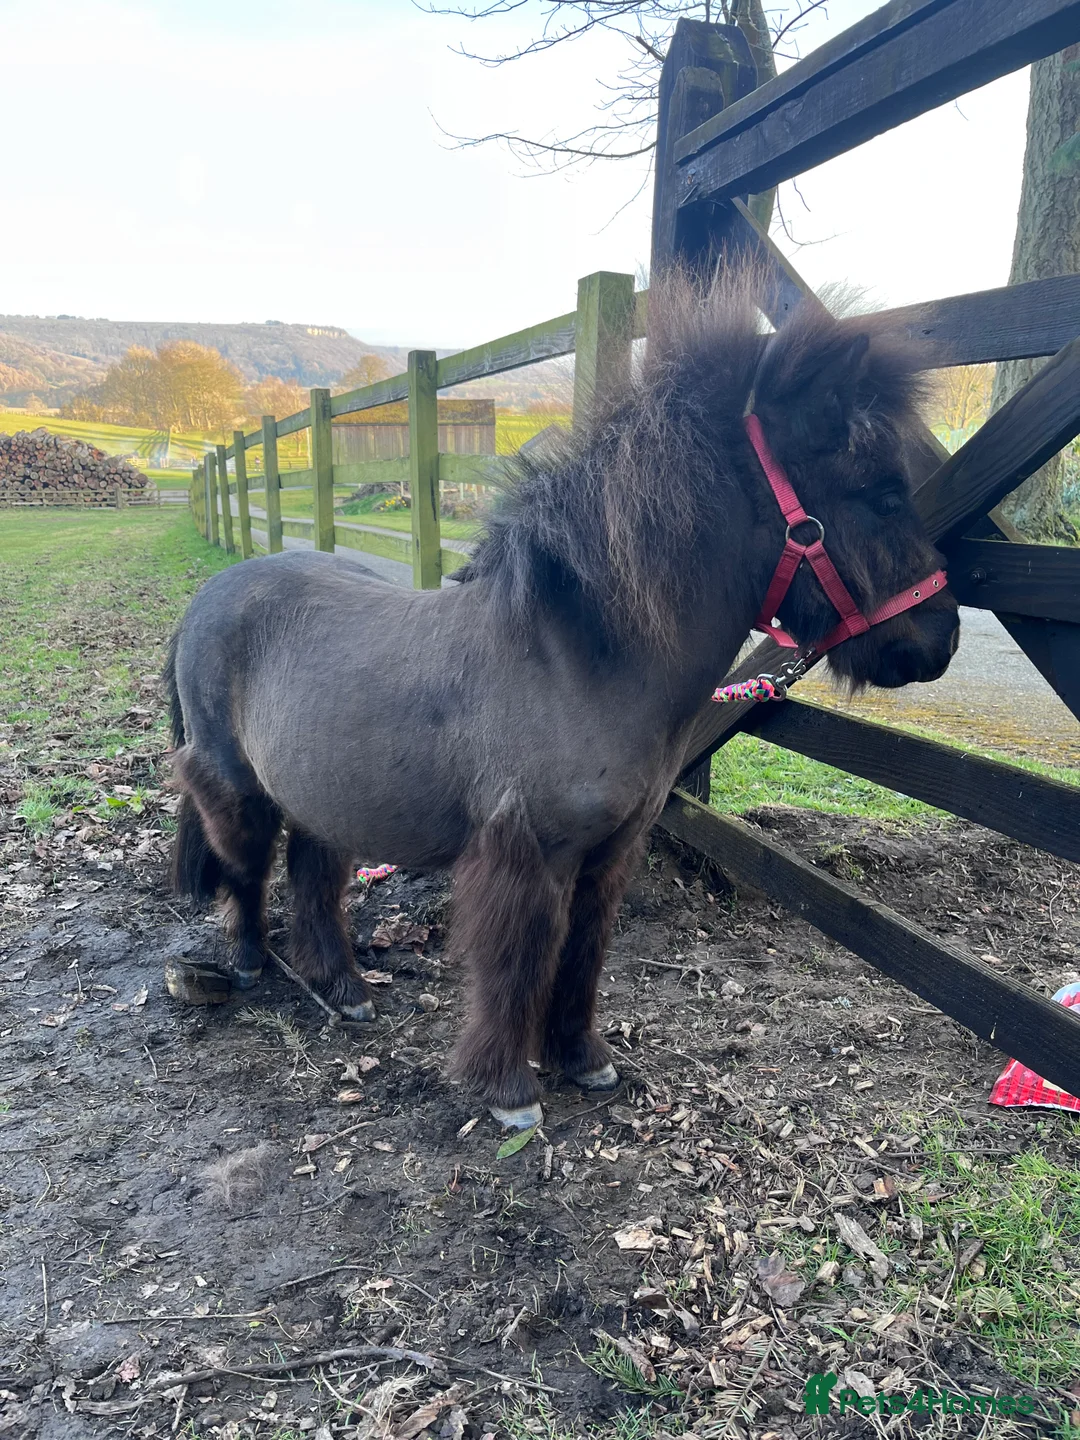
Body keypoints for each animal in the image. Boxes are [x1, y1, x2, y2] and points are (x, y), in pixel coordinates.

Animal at [163, 269, 959, 1129]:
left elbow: (581, 955)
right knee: (245, 869)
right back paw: (248, 962)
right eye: (880, 493)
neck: (578, 660)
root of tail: (207, 598)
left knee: (313, 876)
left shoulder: (607, 856)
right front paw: (511, 1090)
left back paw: (342, 988)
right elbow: (518, 965)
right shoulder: (526, 857)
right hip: (236, 786)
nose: (940, 639)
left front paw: (583, 1058)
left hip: (323, 791)